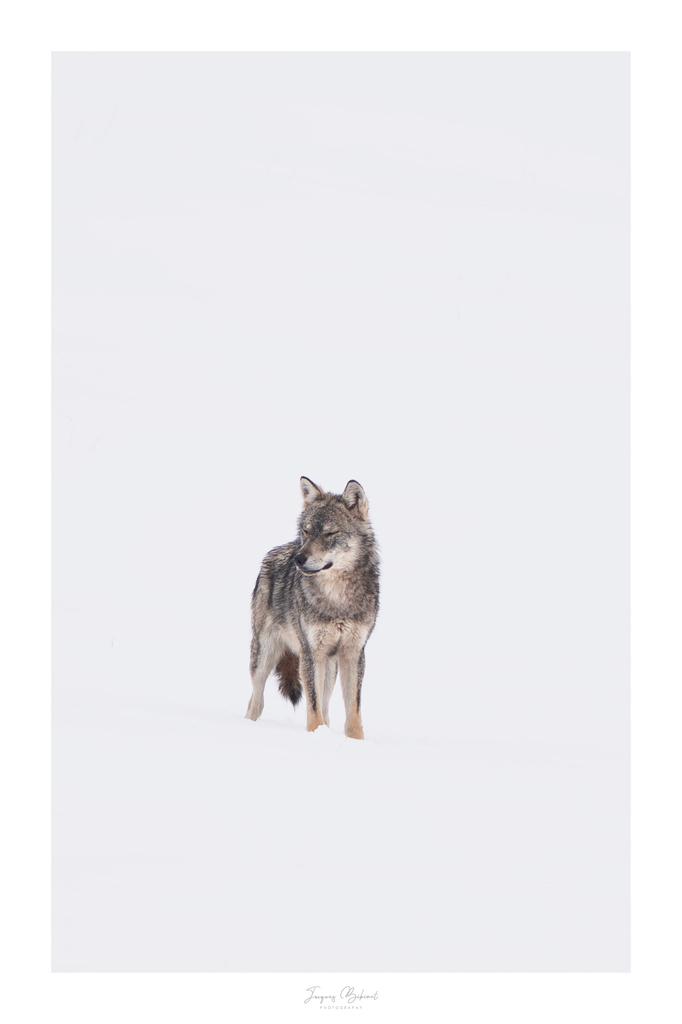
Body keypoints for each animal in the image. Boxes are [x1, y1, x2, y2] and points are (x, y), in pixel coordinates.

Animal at [245, 477, 379, 739]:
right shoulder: (310, 652)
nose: (299, 559)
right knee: (255, 701)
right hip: (264, 656)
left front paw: (356, 741)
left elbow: (353, 712)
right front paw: (316, 735)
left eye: (330, 533)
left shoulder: (354, 653)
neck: (337, 599)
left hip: (329, 666)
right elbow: (313, 708)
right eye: (306, 532)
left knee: (326, 707)